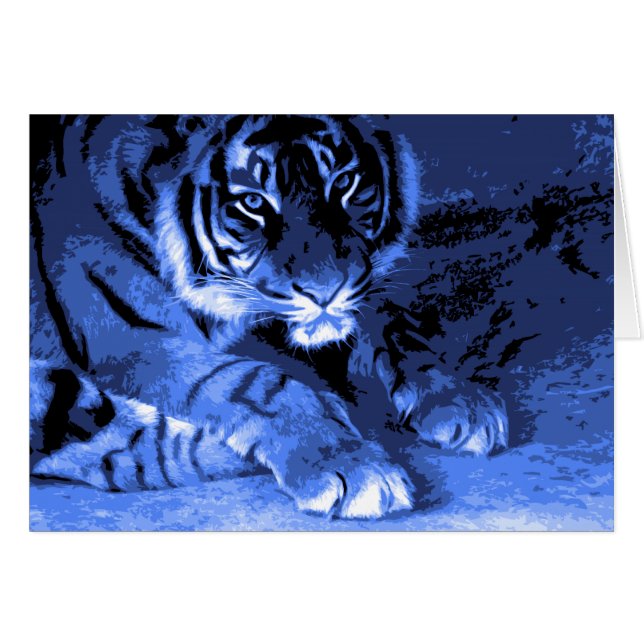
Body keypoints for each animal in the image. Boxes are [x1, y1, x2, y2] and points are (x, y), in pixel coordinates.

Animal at [30, 115, 508, 520]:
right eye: (253, 203)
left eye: (345, 182)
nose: (325, 292)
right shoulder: (130, 341)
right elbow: (255, 381)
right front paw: (346, 461)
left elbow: (390, 323)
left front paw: (458, 399)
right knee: (126, 453)